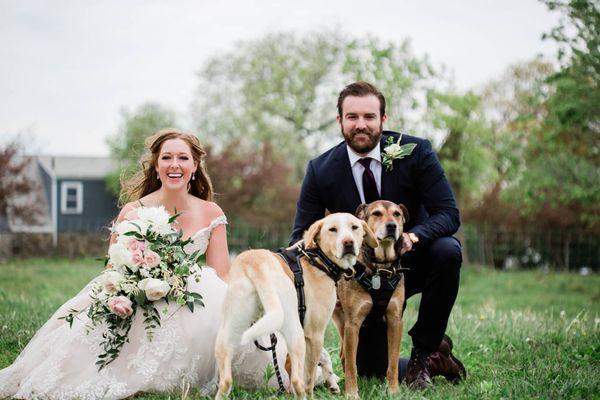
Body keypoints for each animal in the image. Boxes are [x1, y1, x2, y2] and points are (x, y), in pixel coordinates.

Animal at [213, 212, 378, 396]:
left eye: (354, 227)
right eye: (332, 229)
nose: (348, 242)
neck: (318, 259)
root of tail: (256, 264)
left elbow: (322, 358)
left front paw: (331, 381)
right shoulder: (314, 334)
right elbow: (310, 377)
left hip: (226, 336)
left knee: (226, 381)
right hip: (295, 335)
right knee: (298, 381)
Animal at [330, 202, 410, 398]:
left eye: (397, 214)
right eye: (376, 213)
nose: (392, 226)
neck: (380, 268)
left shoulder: (395, 321)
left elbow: (393, 362)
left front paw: (393, 391)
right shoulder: (353, 324)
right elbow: (352, 366)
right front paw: (352, 394)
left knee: (343, 355)